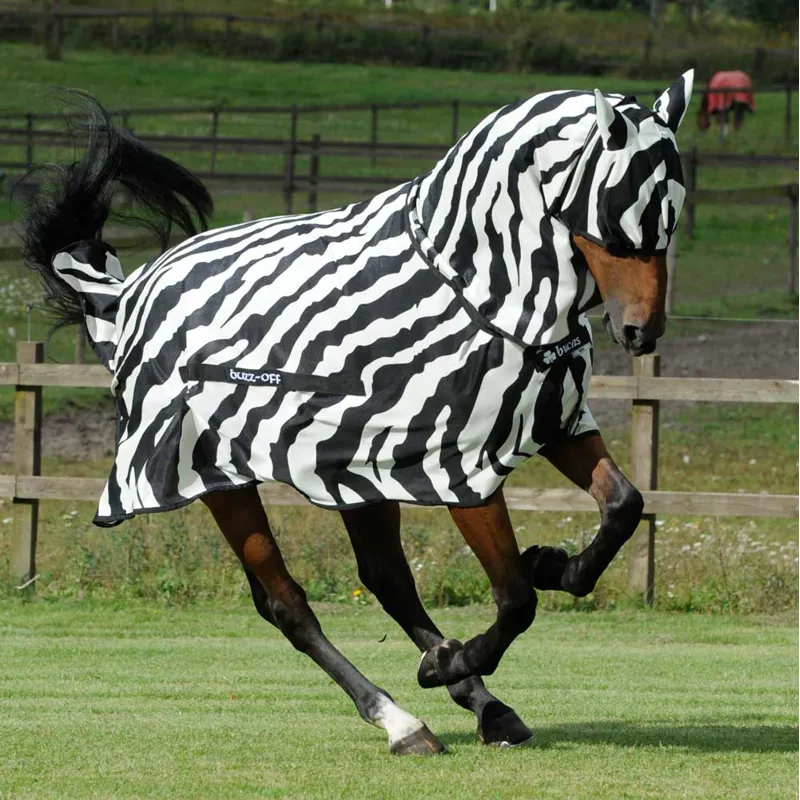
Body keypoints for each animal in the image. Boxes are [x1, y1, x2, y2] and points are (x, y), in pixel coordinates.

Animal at [23, 71, 693, 755]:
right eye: (619, 213)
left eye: (672, 216)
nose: (641, 332)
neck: (477, 290)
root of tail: (128, 294)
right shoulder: (463, 467)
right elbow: (514, 599)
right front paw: (457, 654)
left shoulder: (555, 423)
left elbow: (623, 506)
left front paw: (554, 568)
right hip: (217, 479)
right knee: (287, 603)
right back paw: (402, 718)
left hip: (353, 473)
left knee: (387, 579)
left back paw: (479, 702)